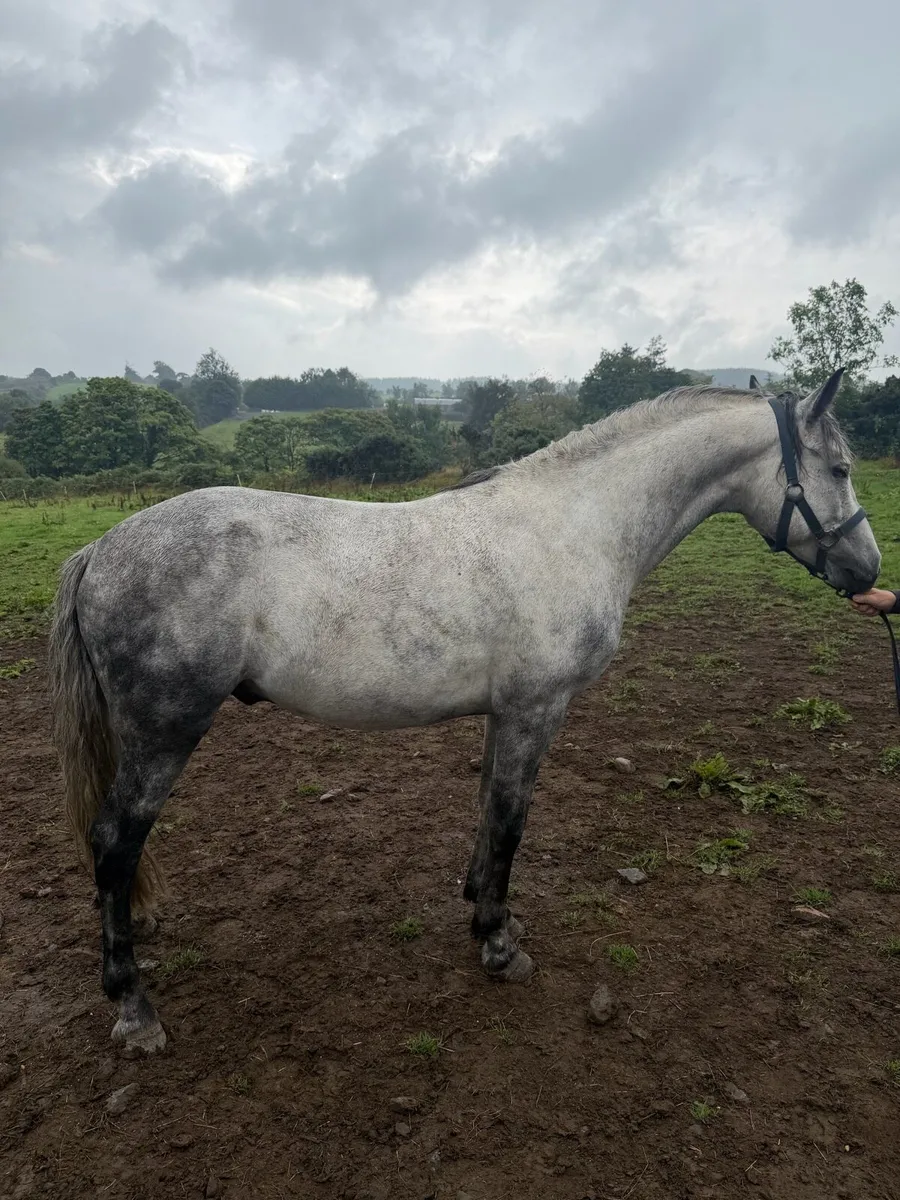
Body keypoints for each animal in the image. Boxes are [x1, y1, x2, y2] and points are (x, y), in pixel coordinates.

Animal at [48, 370, 880, 1053]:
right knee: (114, 844)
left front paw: (482, 905)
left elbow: (488, 810)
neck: (573, 527)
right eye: (839, 468)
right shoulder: (536, 709)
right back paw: (135, 1010)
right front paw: (499, 946)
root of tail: (101, 549)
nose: (867, 570)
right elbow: (511, 821)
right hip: (164, 734)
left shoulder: (503, 713)